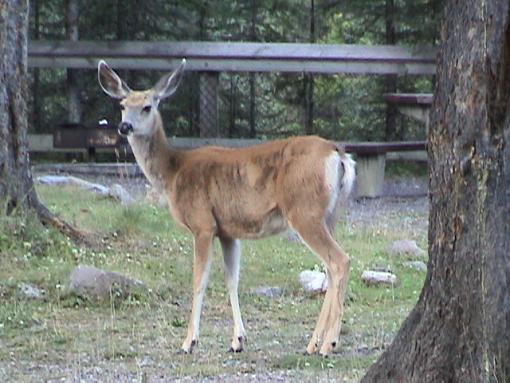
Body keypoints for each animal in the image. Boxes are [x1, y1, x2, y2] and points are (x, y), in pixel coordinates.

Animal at [97, 59, 356, 356]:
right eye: (122, 105)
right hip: (329, 215)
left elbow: (199, 280)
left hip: (304, 212)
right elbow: (232, 280)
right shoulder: (228, 231)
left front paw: (189, 341)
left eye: (148, 106)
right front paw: (237, 339)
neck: (173, 172)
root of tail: (339, 154)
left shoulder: (202, 224)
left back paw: (328, 343)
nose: (124, 127)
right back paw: (313, 343)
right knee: (329, 268)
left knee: (339, 261)